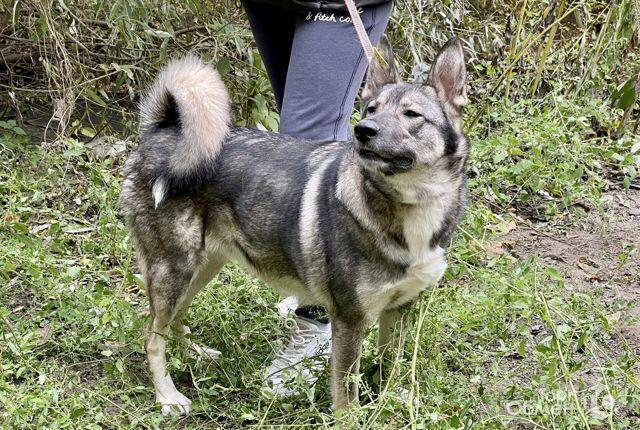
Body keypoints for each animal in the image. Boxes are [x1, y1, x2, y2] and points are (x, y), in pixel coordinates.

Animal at [121, 36, 470, 414]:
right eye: (371, 110)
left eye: (411, 115)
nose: (363, 131)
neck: (408, 204)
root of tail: (165, 129)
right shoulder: (350, 320)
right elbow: (346, 393)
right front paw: (355, 417)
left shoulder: (401, 309)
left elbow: (393, 366)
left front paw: (392, 403)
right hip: (174, 270)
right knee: (152, 335)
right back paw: (168, 395)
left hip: (203, 267)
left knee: (174, 320)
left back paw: (195, 354)